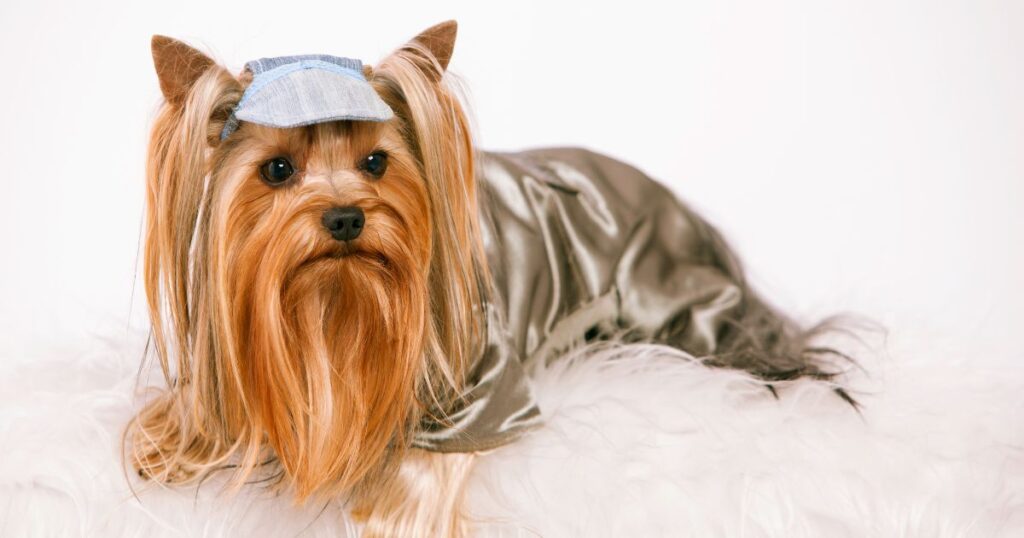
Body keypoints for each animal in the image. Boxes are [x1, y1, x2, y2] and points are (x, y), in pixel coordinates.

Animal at [125, 19, 847, 532]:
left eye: (377, 161)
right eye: (277, 170)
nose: (346, 217)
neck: (333, 307)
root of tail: (692, 218)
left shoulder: (478, 381)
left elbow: (423, 478)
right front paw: (172, 446)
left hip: (675, 306)